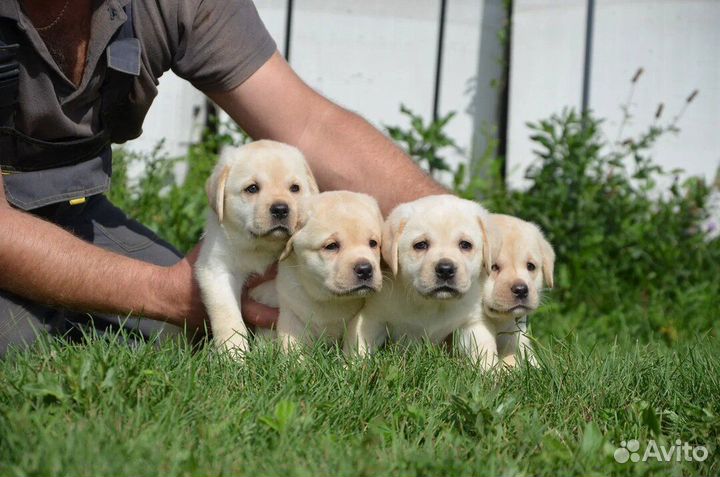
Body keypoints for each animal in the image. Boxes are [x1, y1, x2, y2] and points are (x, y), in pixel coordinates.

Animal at [197, 139, 320, 356]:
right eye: (252, 188)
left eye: (294, 188)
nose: (280, 209)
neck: (259, 248)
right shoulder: (216, 268)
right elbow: (228, 316)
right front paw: (234, 355)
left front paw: (266, 353)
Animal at [276, 192, 386, 352]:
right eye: (332, 246)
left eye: (373, 243)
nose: (365, 270)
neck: (330, 299)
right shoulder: (291, 314)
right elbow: (292, 346)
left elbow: (355, 340)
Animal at [344, 193, 496, 364]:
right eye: (421, 245)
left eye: (465, 245)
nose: (445, 270)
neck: (433, 304)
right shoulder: (372, 317)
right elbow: (358, 347)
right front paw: (351, 367)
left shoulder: (473, 323)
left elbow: (485, 352)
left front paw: (492, 370)